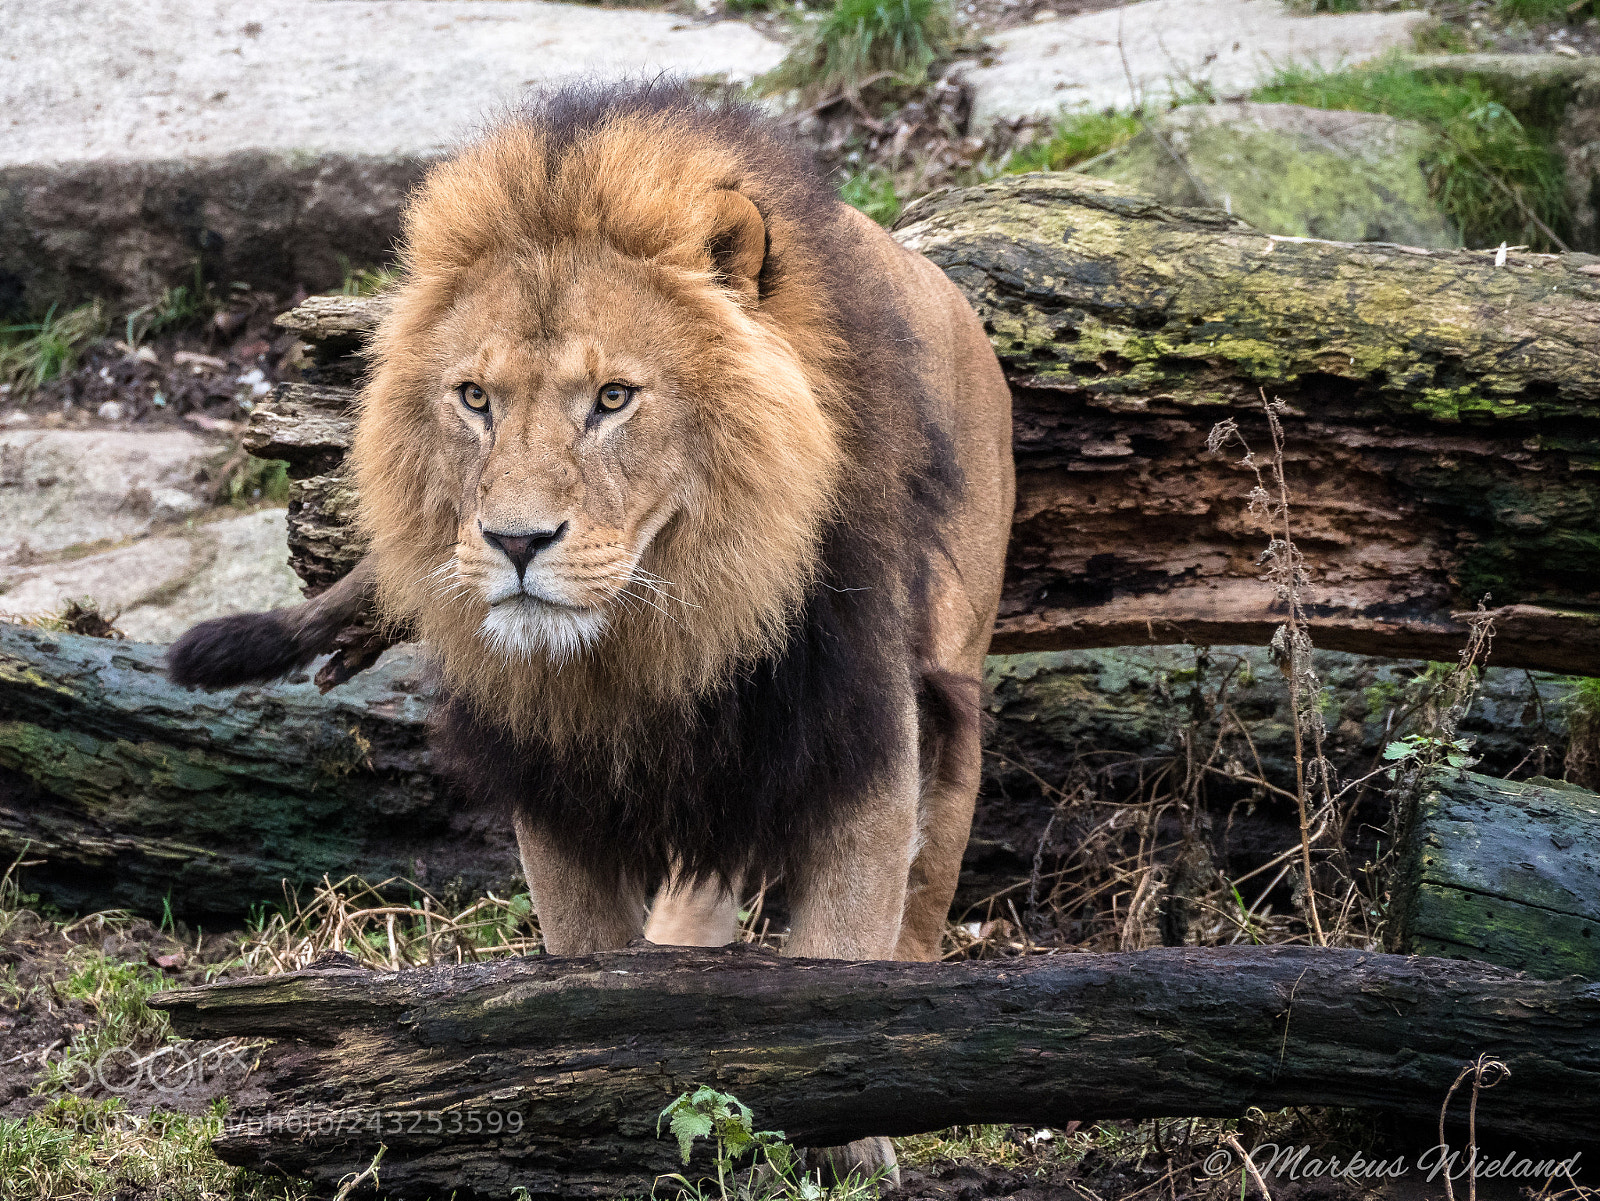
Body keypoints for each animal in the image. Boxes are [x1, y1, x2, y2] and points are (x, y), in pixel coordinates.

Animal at [169, 81, 1013, 1177]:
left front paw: (862, 1132)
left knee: (932, 865)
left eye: (612, 398)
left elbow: (845, 945)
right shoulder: (552, 776)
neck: (657, 635)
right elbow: (584, 961)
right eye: (474, 398)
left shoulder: (858, 729)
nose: (516, 540)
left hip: (953, 672)